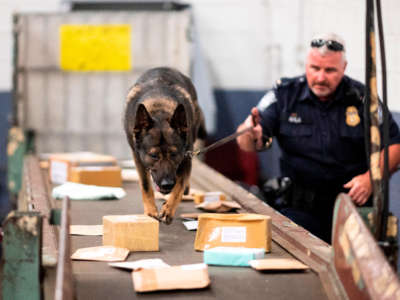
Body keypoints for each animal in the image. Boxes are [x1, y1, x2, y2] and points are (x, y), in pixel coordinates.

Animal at [124, 67, 206, 223]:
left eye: (174, 154)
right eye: (153, 155)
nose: (167, 184)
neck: (159, 109)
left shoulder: (186, 157)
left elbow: (179, 185)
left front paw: (169, 208)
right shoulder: (137, 157)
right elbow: (145, 185)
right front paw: (150, 210)